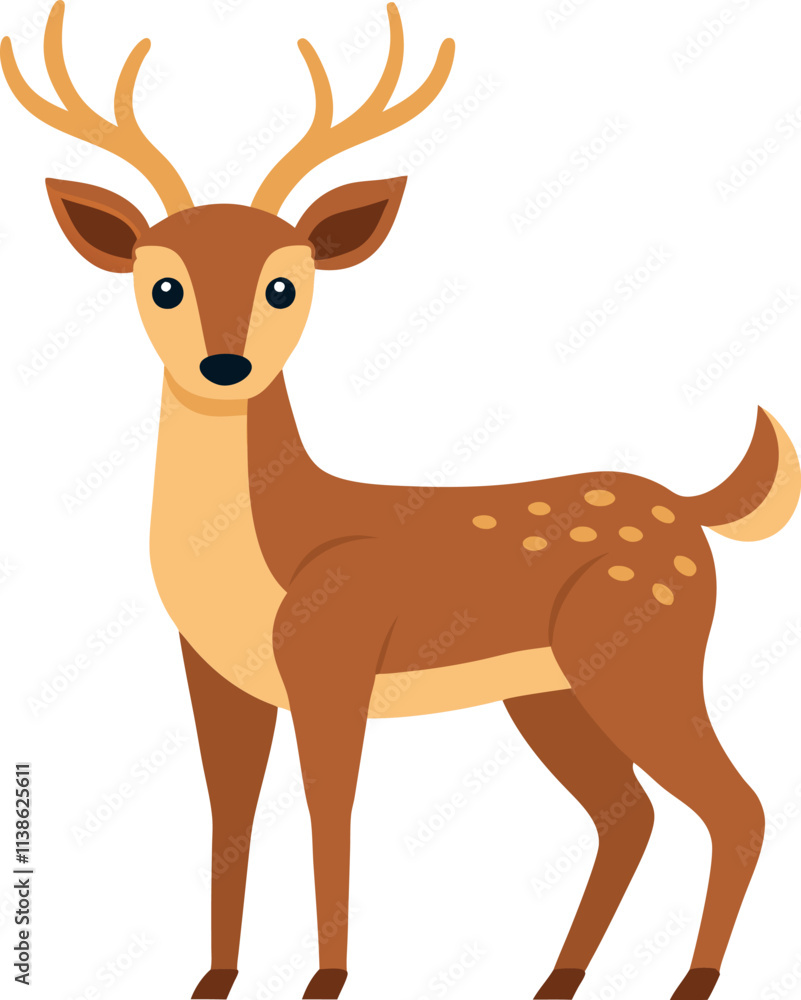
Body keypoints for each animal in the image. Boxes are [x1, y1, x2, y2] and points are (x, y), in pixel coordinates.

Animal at [2, 3, 799, 999]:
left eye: (284, 283)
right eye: (163, 284)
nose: (224, 365)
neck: (260, 556)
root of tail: (690, 509)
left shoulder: (333, 655)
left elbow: (328, 809)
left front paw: (325, 981)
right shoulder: (213, 673)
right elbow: (229, 814)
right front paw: (213, 981)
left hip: (644, 652)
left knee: (736, 805)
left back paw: (689, 982)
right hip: (549, 689)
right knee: (627, 814)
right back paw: (554, 981)